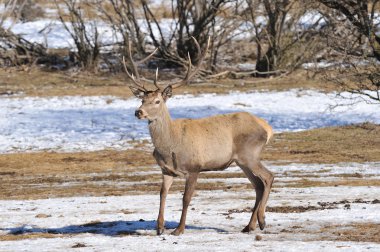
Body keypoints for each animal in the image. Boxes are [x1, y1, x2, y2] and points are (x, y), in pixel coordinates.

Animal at [123, 37, 274, 236]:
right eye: (142, 100)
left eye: (157, 101)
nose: (138, 112)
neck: (170, 146)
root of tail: (266, 127)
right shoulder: (166, 170)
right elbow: (162, 194)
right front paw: (160, 227)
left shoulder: (194, 167)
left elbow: (186, 198)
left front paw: (178, 229)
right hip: (241, 160)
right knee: (257, 185)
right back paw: (250, 225)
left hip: (250, 154)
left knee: (268, 177)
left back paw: (262, 221)